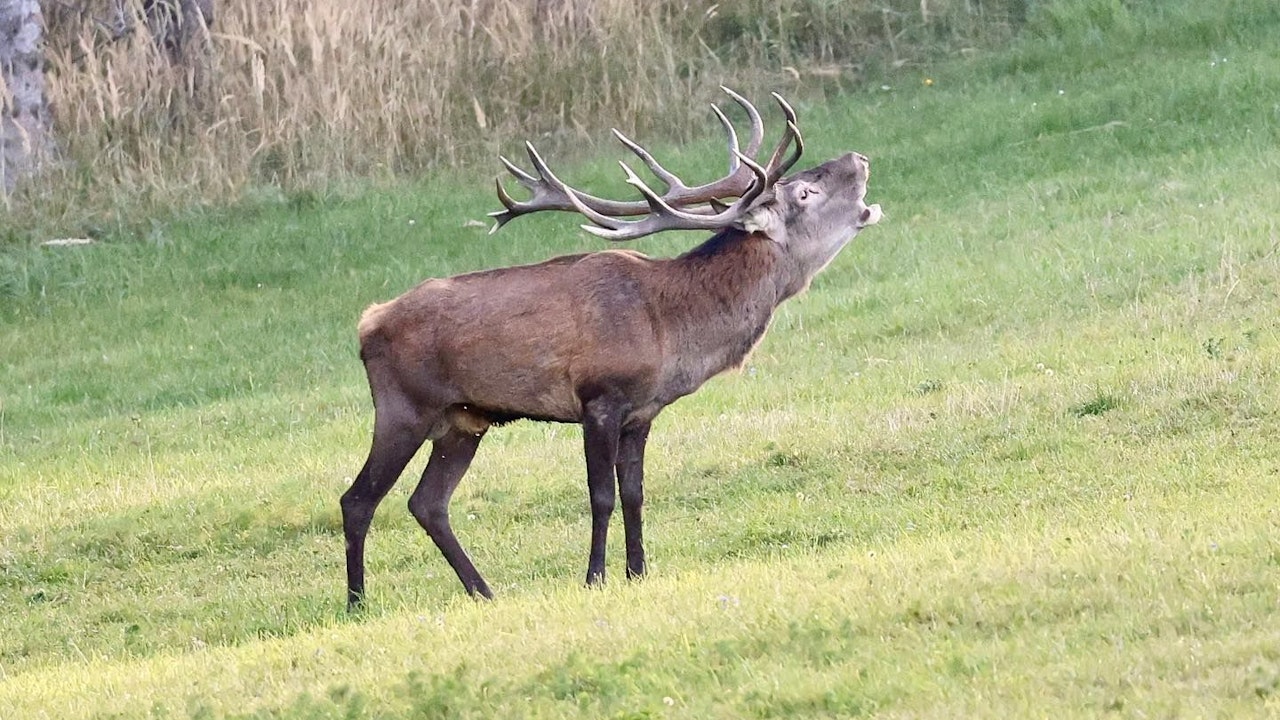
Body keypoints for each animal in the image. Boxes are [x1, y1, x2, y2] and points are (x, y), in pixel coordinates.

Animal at [341, 88, 882, 609]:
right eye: (806, 192)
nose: (859, 158)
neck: (670, 327)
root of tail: (367, 323)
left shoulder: (643, 411)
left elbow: (635, 492)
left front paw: (638, 571)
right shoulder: (600, 398)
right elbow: (601, 495)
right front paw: (595, 578)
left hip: (463, 421)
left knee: (427, 503)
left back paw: (483, 592)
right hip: (404, 408)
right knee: (358, 499)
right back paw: (358, 603)